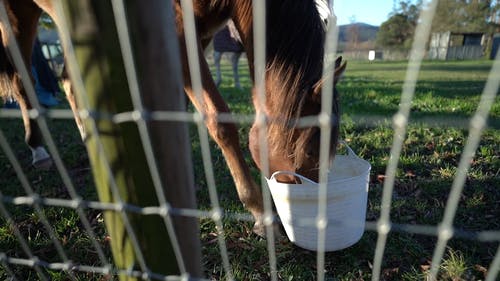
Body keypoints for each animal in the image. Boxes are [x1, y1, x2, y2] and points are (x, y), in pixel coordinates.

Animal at [0, 0, 346, 233]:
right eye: (307, 152)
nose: (317, 216)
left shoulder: (199, 34)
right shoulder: (179, 33)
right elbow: (218, 119)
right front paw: (260, 213)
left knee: (69, 80)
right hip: (19, 14)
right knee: (21, 79)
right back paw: (39, 149)